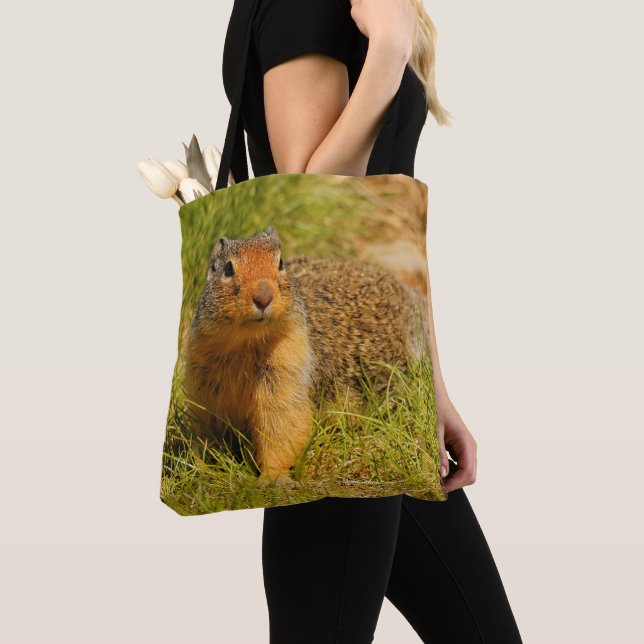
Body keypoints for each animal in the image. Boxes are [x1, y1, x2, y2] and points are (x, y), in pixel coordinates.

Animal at [183, 225, 431, 485]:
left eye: (280, 263)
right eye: (228, 268)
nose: (263, 297)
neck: (245, 342)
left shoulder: (289, 370)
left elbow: (283, 427)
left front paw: (272, 478)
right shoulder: (202, 380)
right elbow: (205, 429)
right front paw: (200, 468)